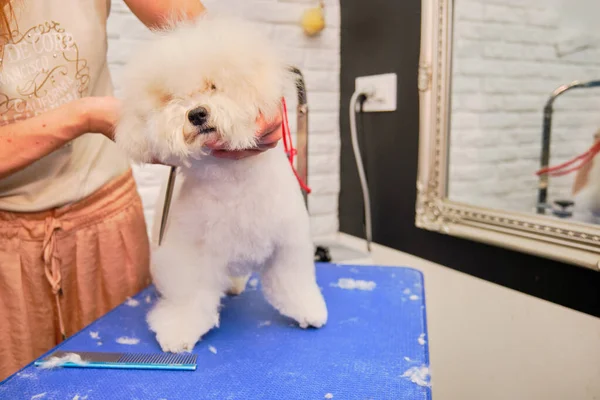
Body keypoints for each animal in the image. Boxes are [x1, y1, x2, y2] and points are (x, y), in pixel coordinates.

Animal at [112, 14, 328, 354]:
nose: (197, 113)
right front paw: (178, 330)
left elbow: (292, 280)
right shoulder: (189, 255)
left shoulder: (288, 241)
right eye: (173, 99)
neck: (232, 178)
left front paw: (307, 310)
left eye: (213, 86)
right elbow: (189, 298)